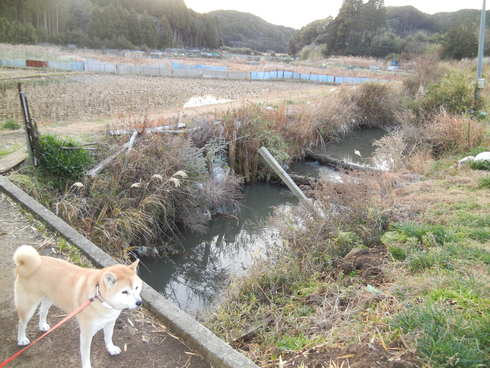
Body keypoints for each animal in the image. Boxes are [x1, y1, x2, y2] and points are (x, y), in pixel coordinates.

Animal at [12, 244, 142, 368]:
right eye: (124, 292)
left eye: (136, 287)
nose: (139, 302)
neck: (99, 297)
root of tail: (28, 264)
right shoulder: (86, 333)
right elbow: (86, 354)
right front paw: (87, 366)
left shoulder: (110, 322)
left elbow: (108, 337)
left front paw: (111, 348)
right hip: (28, 306)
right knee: (21, 322)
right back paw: (22, 339)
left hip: (49, 298)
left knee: (43, 311)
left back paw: (43, 325)